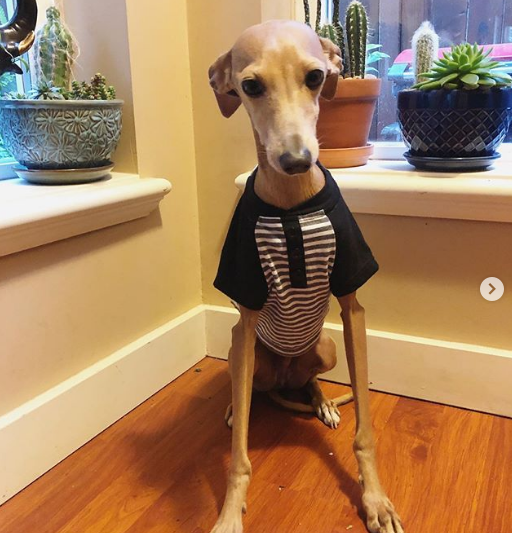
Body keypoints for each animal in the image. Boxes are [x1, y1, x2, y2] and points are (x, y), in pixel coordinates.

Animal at [208, 18, 404, 532]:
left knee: (313, 379)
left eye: (316, 77)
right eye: (250, 86)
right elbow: (238, 455)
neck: (291, 202)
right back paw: (237, 406)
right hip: (241, 351)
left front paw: (375, 499)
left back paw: (323, 402)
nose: (296, 160)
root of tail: (284, 376)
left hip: (326, 346)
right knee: (247, 389)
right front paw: (230, 513)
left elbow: (365, 432)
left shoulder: (354, 307)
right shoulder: (245, 313)